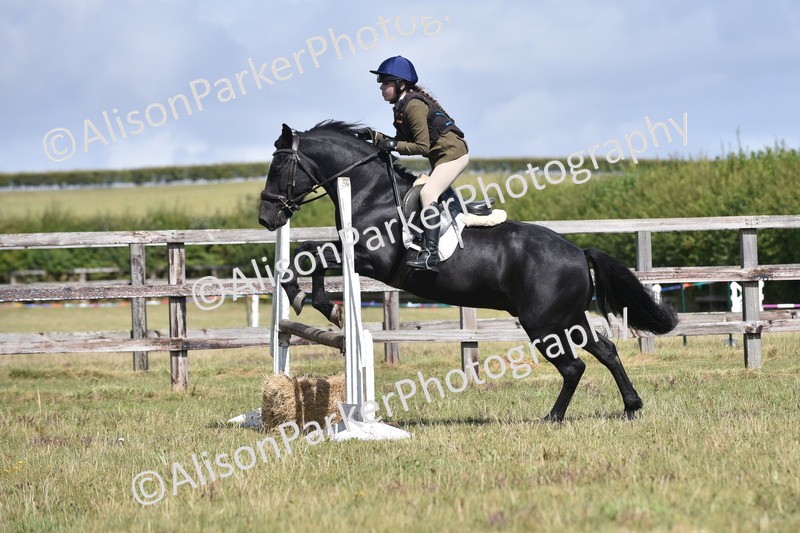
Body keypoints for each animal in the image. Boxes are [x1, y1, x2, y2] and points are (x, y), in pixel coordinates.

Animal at [258, 121, 677, 421]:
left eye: (277, 166)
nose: (266, 218)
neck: (369, 192)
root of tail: (578, 252)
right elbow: (306, 254)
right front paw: (315, 302)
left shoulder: (371, 258)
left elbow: (310, 256)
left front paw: (318, 303)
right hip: (568, 318)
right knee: (605, 351)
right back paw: (630, 407)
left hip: (543, 322)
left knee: (573, 365)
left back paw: (553, 417)